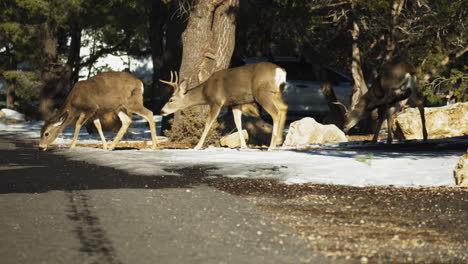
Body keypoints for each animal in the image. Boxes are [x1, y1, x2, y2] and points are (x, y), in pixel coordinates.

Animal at [159, 60, 288, 150]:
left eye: (171, 99)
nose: (162, 111)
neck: (205, 92)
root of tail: (281, 71)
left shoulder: (216, 101)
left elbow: (208, 123)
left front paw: (197, 146)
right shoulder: (236, 103)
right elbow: (238, 122)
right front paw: (243, 146)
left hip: (262, 93)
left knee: (275, 113)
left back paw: (272, 146)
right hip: (276, 93)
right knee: (284, 108)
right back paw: (279, 140)